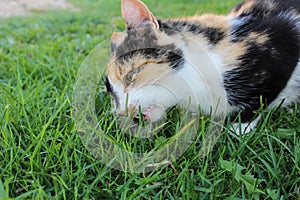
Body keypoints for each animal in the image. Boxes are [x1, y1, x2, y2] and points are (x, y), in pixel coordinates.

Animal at [104, 0, 298, 134]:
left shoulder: (284, 40)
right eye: (112, 95)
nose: (123, 113)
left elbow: (258, 100)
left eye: (131, 74)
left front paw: (238, 130)